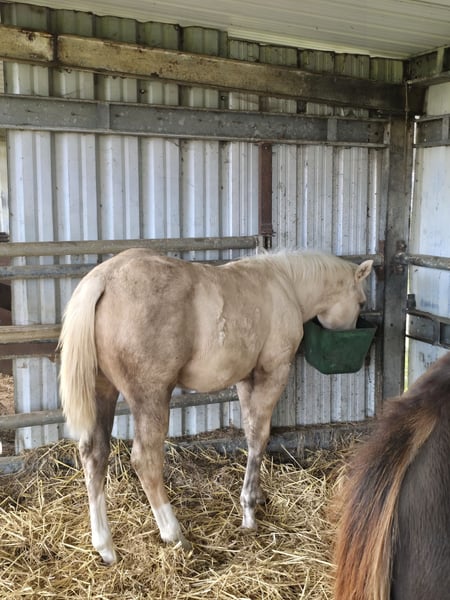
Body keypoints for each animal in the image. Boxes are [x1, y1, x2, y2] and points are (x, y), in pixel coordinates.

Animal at [58, 247, 372, 564]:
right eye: (361, 301)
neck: (286, 284)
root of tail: (104, 278)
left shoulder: (246, 379)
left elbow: (251, 433)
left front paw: (257, 495)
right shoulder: (273, 373)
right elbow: (260, 436)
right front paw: (249, 512)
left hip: (103, 392)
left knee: (94, 456)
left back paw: (105, 547)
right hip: (151, 397)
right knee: (145, 461)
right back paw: (174, 534)